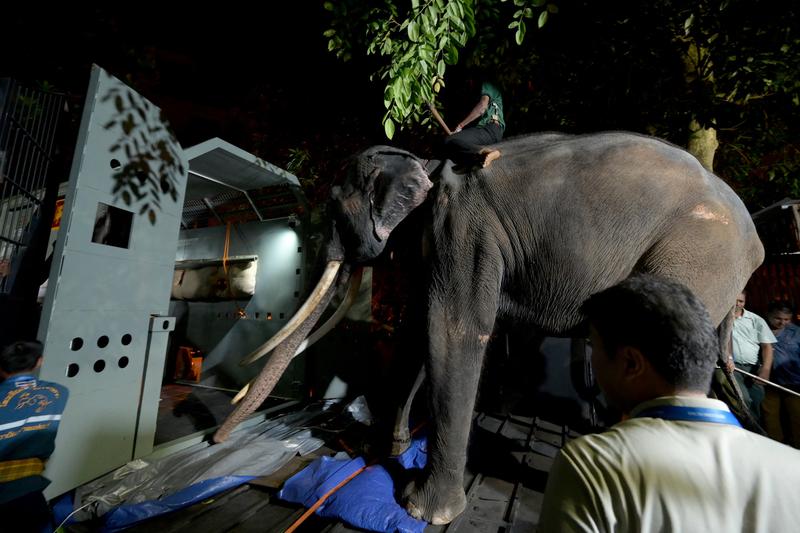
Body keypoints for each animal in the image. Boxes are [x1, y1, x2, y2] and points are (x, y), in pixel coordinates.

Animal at [212, 132, 764, 524]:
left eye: (331, 205)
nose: (215, 439)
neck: (424, 164)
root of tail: (754, 242)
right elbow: (416, 332)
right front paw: (382, 452)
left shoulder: (464, 230)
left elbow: (450, 330)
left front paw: (422, 509)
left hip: (696, 255)